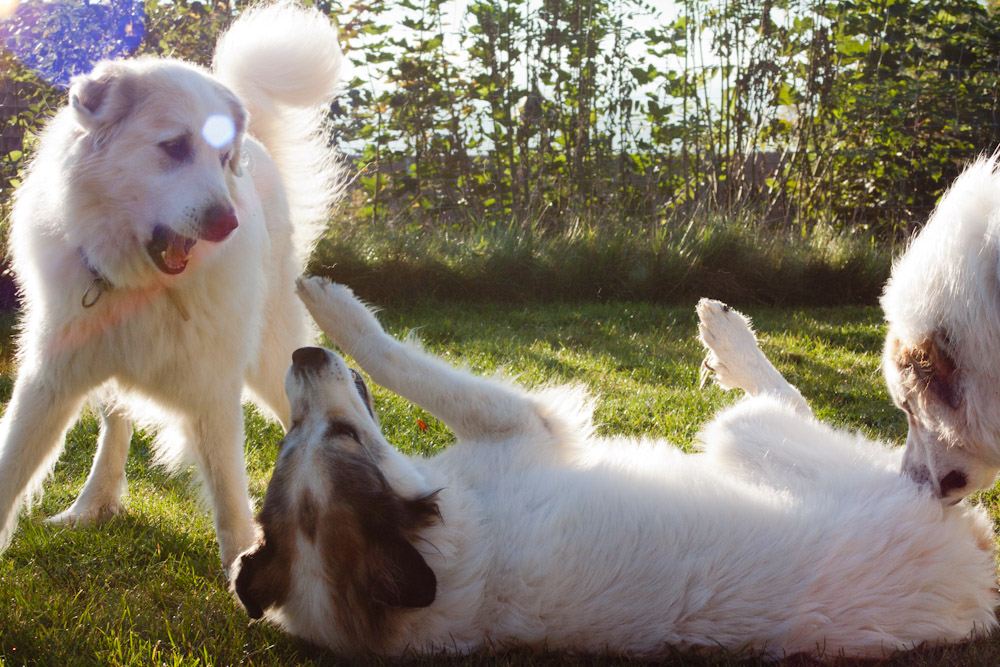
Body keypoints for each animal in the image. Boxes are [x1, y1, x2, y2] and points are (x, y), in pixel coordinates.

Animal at [0, 2, 342, 572]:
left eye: (221, 158)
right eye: (175, 147)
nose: (228, 223)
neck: (140, 284)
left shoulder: (213, 390)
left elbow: (229, 496)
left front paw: (243, 576)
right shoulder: (48, 383)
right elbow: (11, 469)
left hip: (274, 360)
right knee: (115, 426)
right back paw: (93, 503)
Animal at [232, 278, 1000, 664]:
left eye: (295, 439)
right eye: (335, 434)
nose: (302, 356)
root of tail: (977, 584)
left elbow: (397, 363)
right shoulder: (524, 422)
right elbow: (399, 358)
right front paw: (332, 308)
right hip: (748, 437)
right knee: (786, 399)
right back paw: (728, 337)